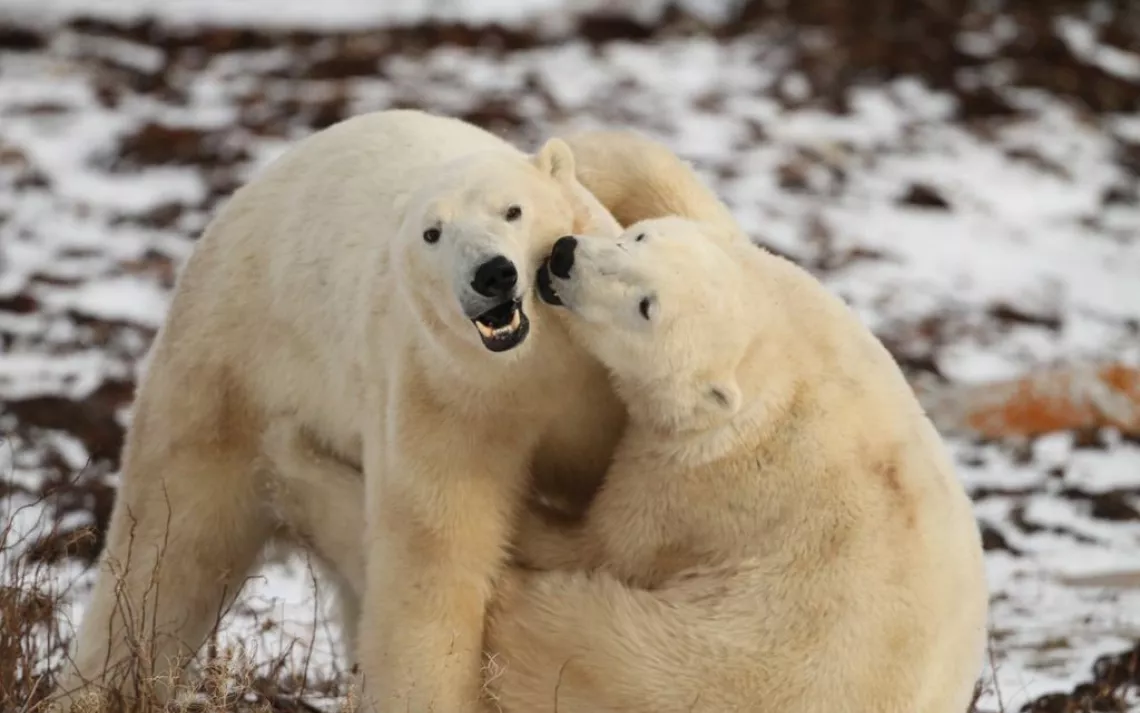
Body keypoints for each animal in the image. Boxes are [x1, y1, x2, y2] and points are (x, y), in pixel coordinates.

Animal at [47, 109, 632, 713]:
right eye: (433, 233)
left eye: (513, 210)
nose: (491, 274)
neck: (531, 366)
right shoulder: (443, 395)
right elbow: (433, 559)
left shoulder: (590, 391)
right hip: (225, 374)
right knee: (167, 552)